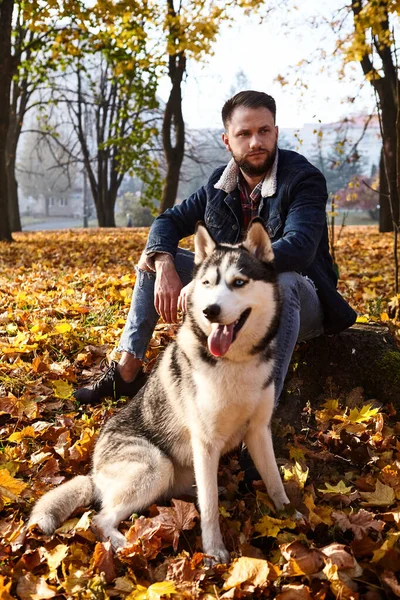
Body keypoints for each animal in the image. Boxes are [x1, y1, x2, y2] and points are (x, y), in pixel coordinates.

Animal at [28, 218, 290, 564]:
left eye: (239, 282)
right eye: (207, 283)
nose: (210, 310)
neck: (235, 362)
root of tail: (94, 471)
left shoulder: (259, 430)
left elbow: (273, 480)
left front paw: (293, 517)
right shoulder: (205, 443)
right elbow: (209, 507)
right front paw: (214, 549)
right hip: (156, 465)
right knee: (100, 519)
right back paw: (126, 546)